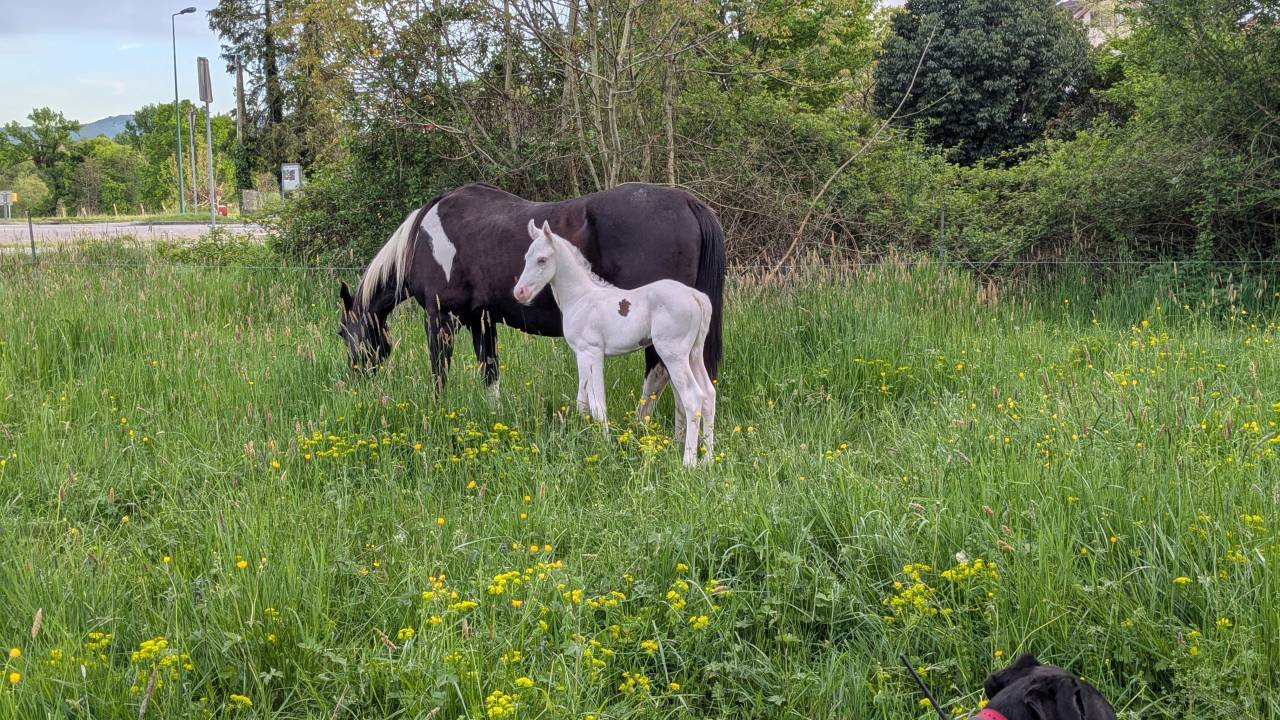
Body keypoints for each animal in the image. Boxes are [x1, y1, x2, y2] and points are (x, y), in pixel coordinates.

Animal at [338, 182, 724, 411]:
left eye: (342, 333)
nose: (354, 379)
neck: (423, 238)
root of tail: (687, 202)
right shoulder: (481, 319)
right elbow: (489, 371)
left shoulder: (440, 317)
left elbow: (439, 372)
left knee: (657, 375)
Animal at [514, 220, 715, 465]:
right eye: (526, 258)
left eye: (542, 259)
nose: (520, 292)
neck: (581, 298)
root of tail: (695, 296)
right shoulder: (581, 354)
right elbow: (583, 402)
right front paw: (584, 440)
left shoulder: (592, 353)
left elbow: (598, 406)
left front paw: (605, 448)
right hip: (693, 354)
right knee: (709, 395)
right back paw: (708, 459)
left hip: (673, 355)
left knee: (693, 398)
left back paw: (689, 463)